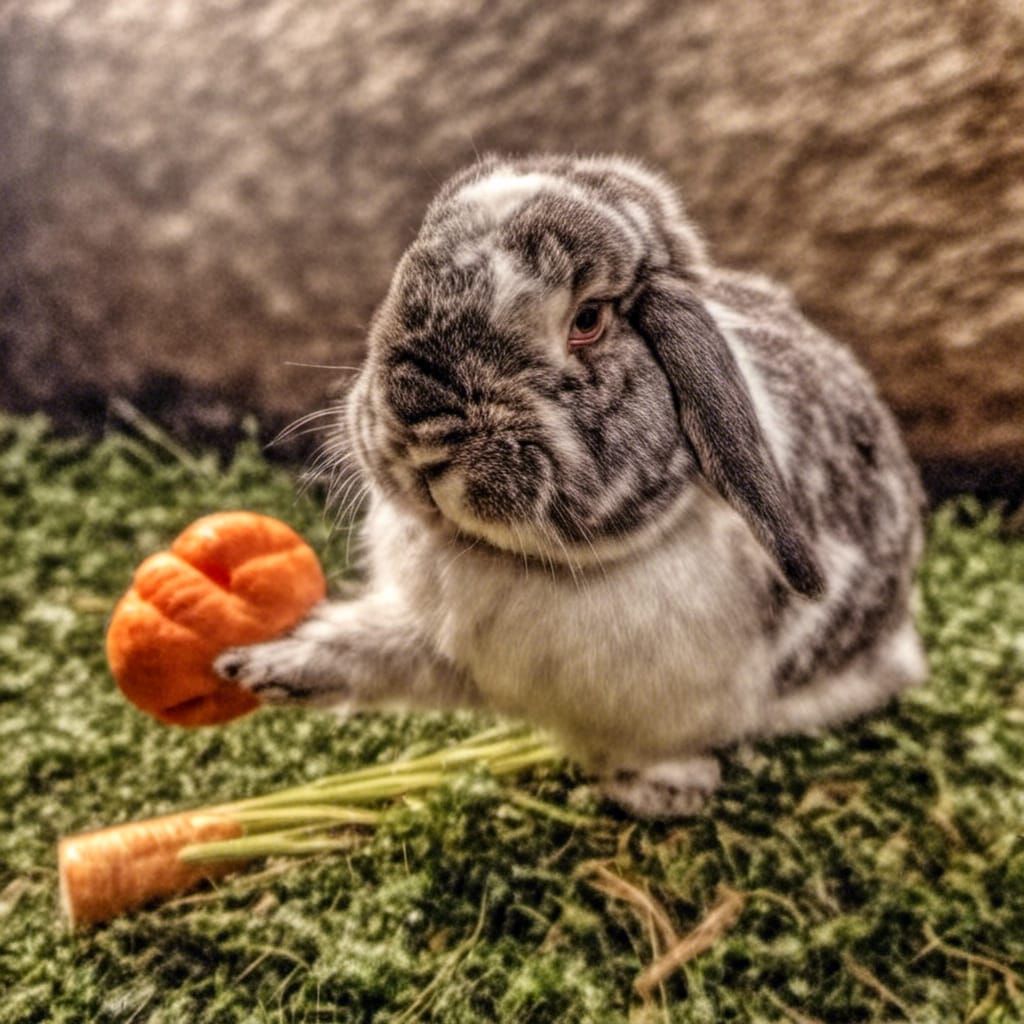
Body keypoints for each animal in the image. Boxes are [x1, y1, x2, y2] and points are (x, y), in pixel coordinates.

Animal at [216, 154, 928, 818]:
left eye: (586, 321)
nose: (420, 426)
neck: (525, 561)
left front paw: (661, 792)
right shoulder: (445, 647)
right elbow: (371, 648)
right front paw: (258, 668)